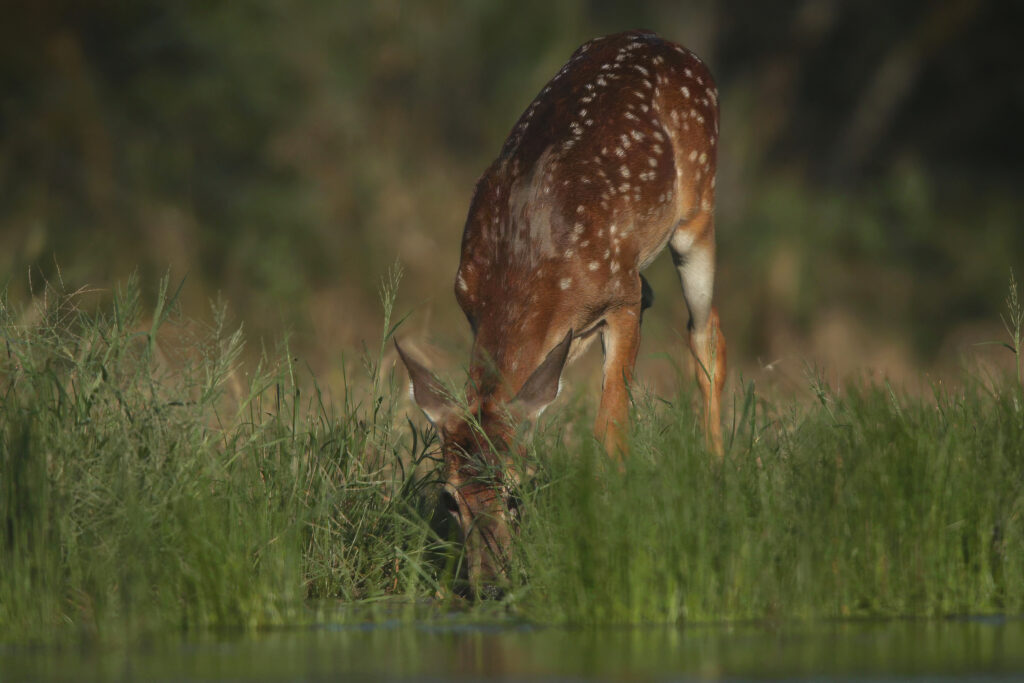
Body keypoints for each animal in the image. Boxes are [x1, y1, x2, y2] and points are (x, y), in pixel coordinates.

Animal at [395, 30, 726, 595]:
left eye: (516, 494)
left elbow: (611, 434)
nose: (490, 585)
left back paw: (720, 471)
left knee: (707, 334)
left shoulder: (620, 297)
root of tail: (669, 43)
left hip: (697, 212)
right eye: (449, 500)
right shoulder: (472, 302)